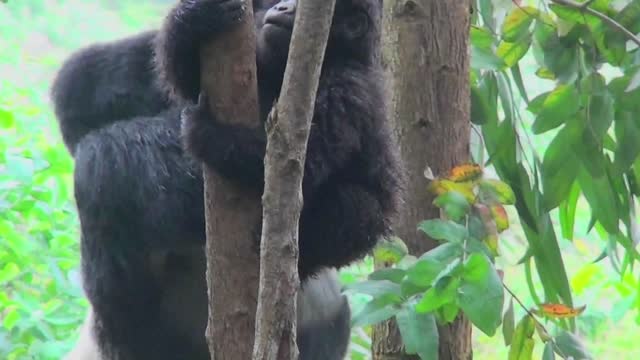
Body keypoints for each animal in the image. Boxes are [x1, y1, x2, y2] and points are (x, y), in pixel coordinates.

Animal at [52, 0, 400, 360]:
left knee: (352, 209)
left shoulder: (345, 87)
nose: (282, 7)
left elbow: (299, 157)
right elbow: (179, 79)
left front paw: (209, 134)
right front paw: (194, 19)